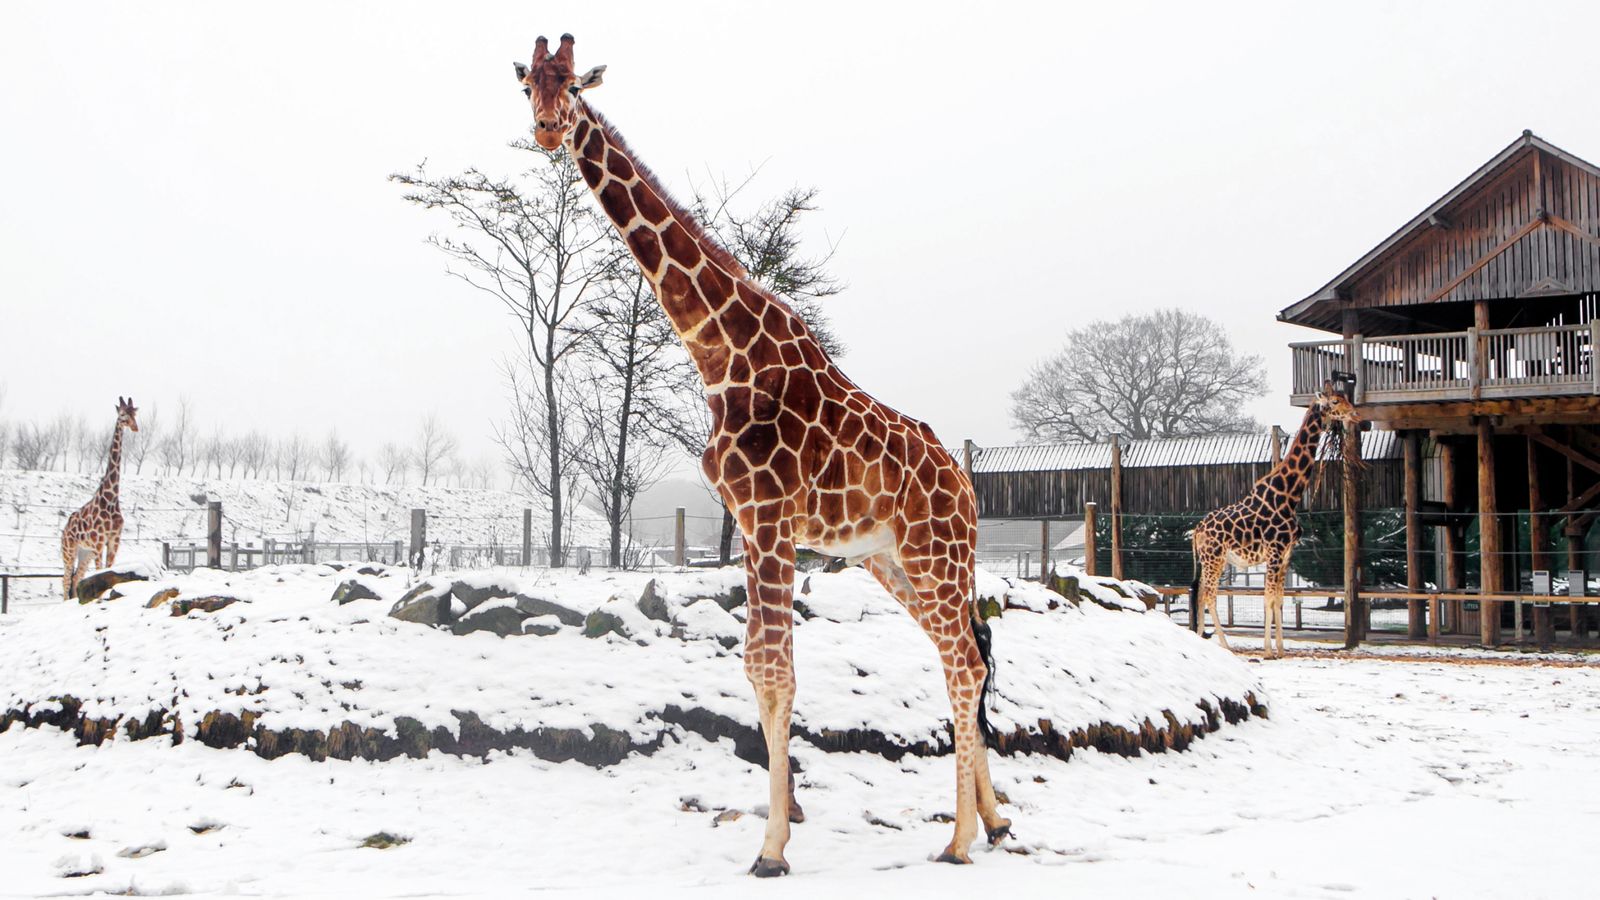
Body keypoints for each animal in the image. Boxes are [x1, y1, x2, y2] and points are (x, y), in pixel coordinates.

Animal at [61, 395, 140, 598]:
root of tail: (64, 529)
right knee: (65, 580)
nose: (135, 427)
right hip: (69, 550)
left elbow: (108, 569)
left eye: (135, 414)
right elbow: (100, 571)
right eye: (122, 415)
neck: (110, 499)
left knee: (76, 578)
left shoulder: (114, 539)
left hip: (85, 553)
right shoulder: (99, 542)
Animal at [518, 33, 1004, 871]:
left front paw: (773, 847)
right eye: (527, 88)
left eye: (574, 85)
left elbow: (776, 671)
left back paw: (960, 838)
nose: (549, 130)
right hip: (892, 558)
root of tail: (965, 485)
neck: (720, 354)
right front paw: (781, 823)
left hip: (936, 553)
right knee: (961, 655)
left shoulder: (772, 516)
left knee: (965, 660)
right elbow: (754, 666)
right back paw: (997, 822)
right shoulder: (748, 523)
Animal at [1196, 381, 1356, 656]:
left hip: (1213, 560)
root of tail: (1196, 530)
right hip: (1213, 558)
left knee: (1199, 594)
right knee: (1208, 595)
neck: (1289, 495)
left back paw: (1197, 637)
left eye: (1345, 397)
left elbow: (1279, 599)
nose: (1355, 415)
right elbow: (1268, 598)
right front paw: (1268, 650)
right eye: (1335, 401)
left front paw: (1281, 649)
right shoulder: (1273, 552)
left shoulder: (1286, 555)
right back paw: (1225, 645)